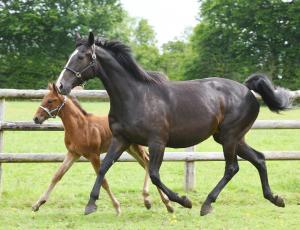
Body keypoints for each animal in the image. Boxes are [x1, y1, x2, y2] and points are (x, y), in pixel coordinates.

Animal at [31, 83, 172, 215]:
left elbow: (103, 181)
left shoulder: (94, 156)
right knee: (146, 164)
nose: (36, 118)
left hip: (136, 147)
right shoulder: (73, 153)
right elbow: (57, 175)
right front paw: (38, 204)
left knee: (148, 163)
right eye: (44, 98)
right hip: (130, 149)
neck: (80, 126)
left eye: (50, 100)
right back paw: (164, 203)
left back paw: (153, 200)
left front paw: (117, 207)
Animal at [55, 31, 292, 216]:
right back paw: (275, 198)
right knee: (259, 159)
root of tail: (247, 90)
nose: (60, 86)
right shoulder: (122, 139)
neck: (136, 97)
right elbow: (104, 167)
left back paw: (206, 205)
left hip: (229, 138)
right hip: (232, 138)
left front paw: (183, 201)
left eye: (82, 57)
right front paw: (90, 204)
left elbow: (154, 174)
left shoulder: (157, 142)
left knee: (232, 168)